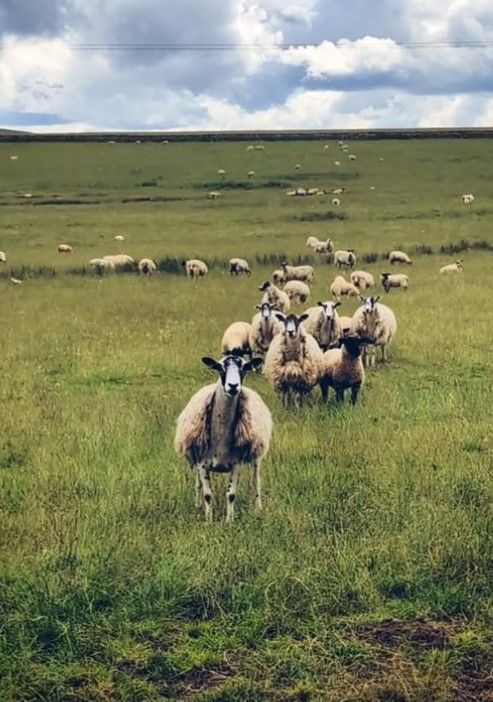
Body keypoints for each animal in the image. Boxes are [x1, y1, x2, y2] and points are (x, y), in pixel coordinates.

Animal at [175, 358, 270, 524]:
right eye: (220, 368)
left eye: (244, 368)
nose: (233, 386)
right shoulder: (202, 463)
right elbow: (207, 495)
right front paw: (209, 521)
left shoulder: (236, 463)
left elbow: (231, 494)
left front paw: (229, 521)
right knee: (198, 484)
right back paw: (197, 505)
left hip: (257, 455)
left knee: (255, 482)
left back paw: (257, 508)